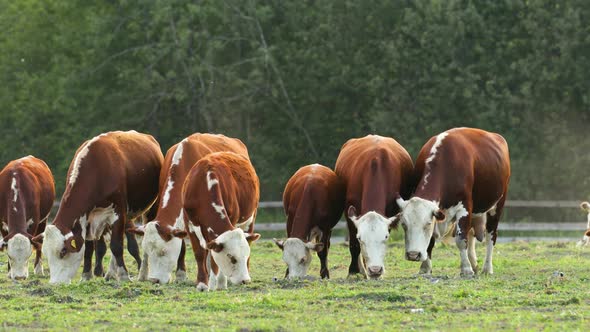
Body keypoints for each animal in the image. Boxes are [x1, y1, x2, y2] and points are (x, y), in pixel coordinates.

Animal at [38, 131, 164, 284]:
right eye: (46, 253)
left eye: (63, 251)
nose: (55, 283)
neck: (96, 169)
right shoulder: (87, 218)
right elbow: (89, 248)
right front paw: (86, 275)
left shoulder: (118, 213)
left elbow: (116, 245)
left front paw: (124, 275)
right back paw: (110, 273)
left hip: (151, 208)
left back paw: (143, 274)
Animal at [183, 150, 262, 290]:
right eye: (233, 259)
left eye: (245, 255)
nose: (245, 280)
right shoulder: (189, 223)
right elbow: (200, 254)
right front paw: (203, 284)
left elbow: (214, 260)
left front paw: (219, 283)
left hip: (250, 218)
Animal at [336, 136, 414, 280]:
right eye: (360, 238)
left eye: (386, 237)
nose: (375, 270)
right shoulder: (349, 213)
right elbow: (354, 245)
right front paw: (353, 270)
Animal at [396, 126, 512, 274]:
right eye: (404, 224)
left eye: (427, 224)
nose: (413, 255)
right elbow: (431, 241)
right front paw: (425, 267)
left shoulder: (464, 208)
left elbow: (461, 239)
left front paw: (466, 269)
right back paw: (474, 264)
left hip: (497, 205)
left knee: (491, 236)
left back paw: (487, 268)